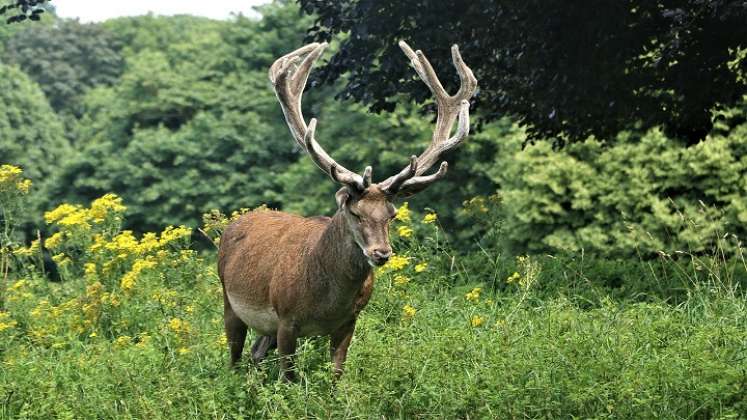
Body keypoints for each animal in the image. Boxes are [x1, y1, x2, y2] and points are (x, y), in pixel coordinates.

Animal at [216, 41, 476, 382]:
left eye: (392, 214)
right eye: (355, 213)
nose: (381, 253)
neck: (326, 302)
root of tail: (235, 223)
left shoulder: (348, 322)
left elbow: (336, 375)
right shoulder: (286, 320)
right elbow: (289, 378)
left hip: (264, 328)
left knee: (255, 356)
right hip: (230, 302)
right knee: (234, 359)